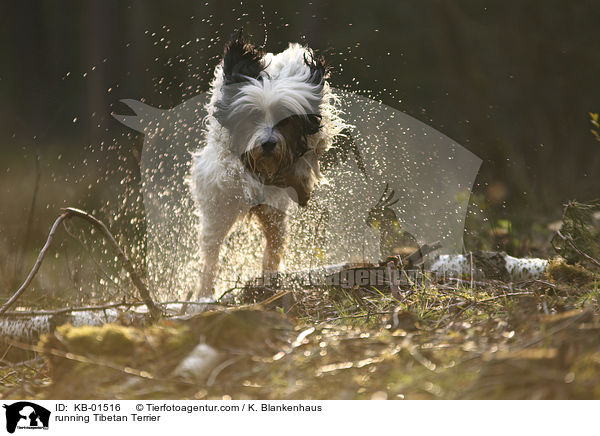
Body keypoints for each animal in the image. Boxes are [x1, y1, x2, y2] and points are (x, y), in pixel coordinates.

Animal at [188, 29, 346, 296]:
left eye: (286, 118)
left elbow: (306, 160)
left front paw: (301, 183)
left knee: (274, 244)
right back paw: (205, 293)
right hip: (217, 211)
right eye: (252, 116)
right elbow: (235, 165)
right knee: (212, 252)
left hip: (275, 217)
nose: (269, 143)